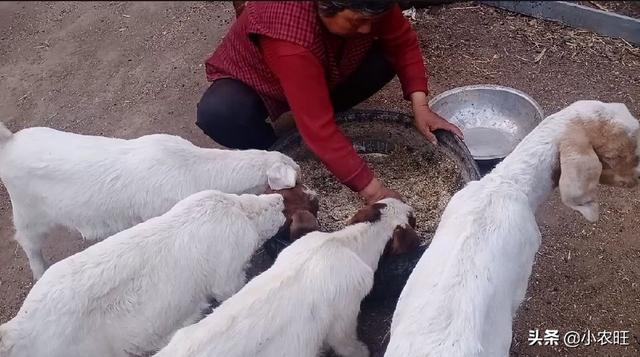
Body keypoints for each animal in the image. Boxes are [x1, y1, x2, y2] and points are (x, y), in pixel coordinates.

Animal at [0, 124, 300, 280]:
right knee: (28, 243)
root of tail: (9, 142)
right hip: (28, 214)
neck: (192, 167)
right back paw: (39, 271)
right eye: (296, 174)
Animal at [152, 197, 418, 356]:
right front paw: (362, 351)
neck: (345, 243)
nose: (410, 207)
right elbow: (345, 342)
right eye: (412, 218)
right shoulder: (345, 315)